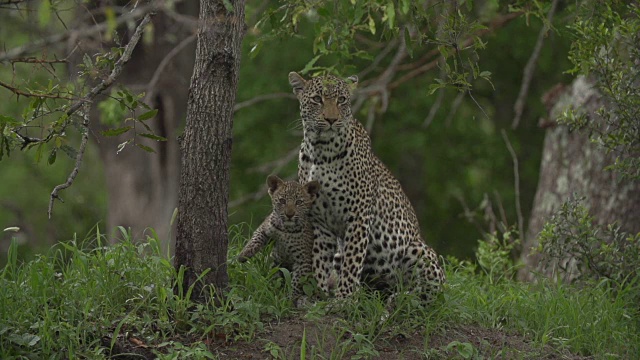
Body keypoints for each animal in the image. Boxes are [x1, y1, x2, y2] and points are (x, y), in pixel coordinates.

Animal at [288, 71, 444, 302]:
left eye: (342, 99)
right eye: (317, 99)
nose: (332, 119)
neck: (320, 150)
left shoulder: (358, 216)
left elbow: (352, 262)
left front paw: (344, 298)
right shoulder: (319, 221)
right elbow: (319, 260)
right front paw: (318, 295)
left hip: (418, 251)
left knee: (431, 293)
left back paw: (400, 298)